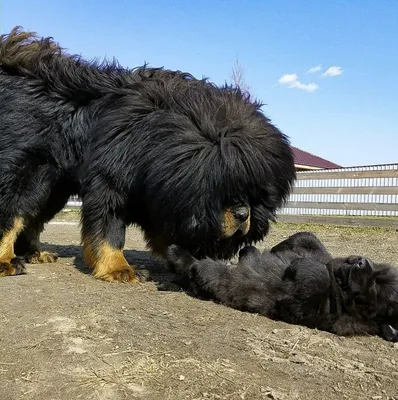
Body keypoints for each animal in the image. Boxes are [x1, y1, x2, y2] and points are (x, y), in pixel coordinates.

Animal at [0, 27, 296, 282]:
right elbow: (109, 231)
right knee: (12, 213)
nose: (244, 214)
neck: (153, 141)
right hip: (29, 176)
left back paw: (36, 253)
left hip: (53, 188)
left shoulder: (156, 195)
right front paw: (118, 268)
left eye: (253, 192)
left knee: (33, 219)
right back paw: (7, 261)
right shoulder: (110, 184)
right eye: (223, 188)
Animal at [166, 231, 398, 340]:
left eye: (376, 284)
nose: (361, 261)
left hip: (208, 274)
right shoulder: (319, 253)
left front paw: (304, 266)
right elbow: (308, 240)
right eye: (377, 272)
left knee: (195, 268)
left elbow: (316, 279)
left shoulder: (309, 309)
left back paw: (176, 253)